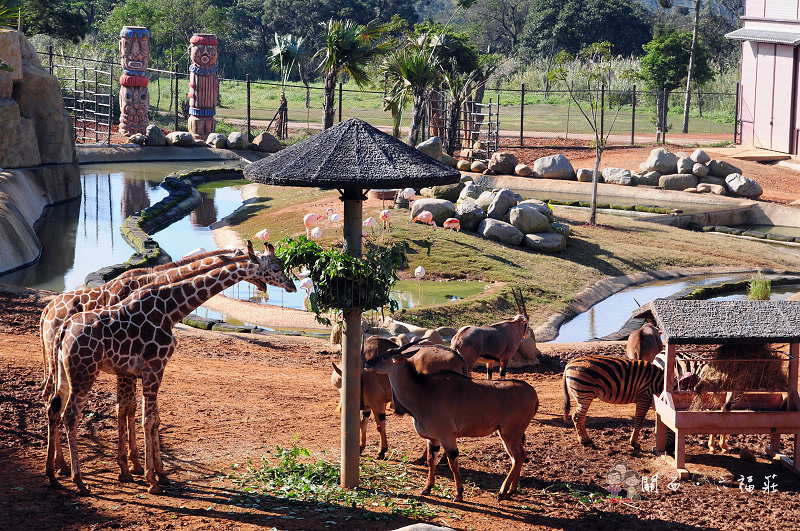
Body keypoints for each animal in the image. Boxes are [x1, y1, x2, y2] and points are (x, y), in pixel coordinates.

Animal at [44, 243, 294, 496]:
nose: (291, 286)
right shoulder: (153, 368)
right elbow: (144, 418)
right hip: (84, 372)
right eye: (276, 267)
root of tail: (55, 321)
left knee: (53, 405)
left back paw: (55, 473)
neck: (169, 308)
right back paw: (78, 480)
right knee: (70, 415)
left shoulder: (141, 371)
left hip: (63, 372)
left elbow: (148, 417)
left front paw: (154, 473)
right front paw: (148, 478)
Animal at [368, 350, 540, 502]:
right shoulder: (433, 440)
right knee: (519, 456)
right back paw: (511, 491)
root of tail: (533, 394)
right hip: (509, 434)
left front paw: (459, 494)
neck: (423, 391)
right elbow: (430, 460)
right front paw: (427, 488)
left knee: (517, 456)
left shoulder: (447, 437)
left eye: (384, 356)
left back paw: (503, 492)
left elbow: (452, 463)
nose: (367, 363)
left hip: (509, 433)